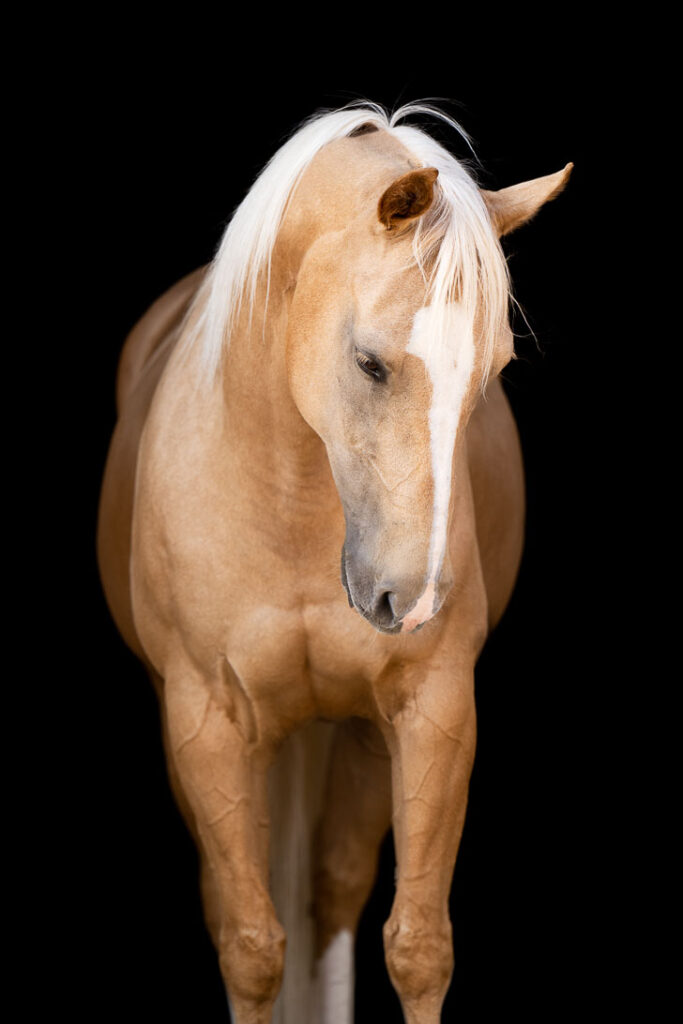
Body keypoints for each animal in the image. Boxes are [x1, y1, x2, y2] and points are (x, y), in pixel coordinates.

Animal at [97, 100, 571, 1024]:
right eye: (369, 362)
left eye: (492, 371)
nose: (412, 602)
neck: (292, 504)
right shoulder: (205, 723)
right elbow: (251, 948)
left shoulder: (431, 709)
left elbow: (416, 948)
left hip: (352, 737)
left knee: (332, 892)